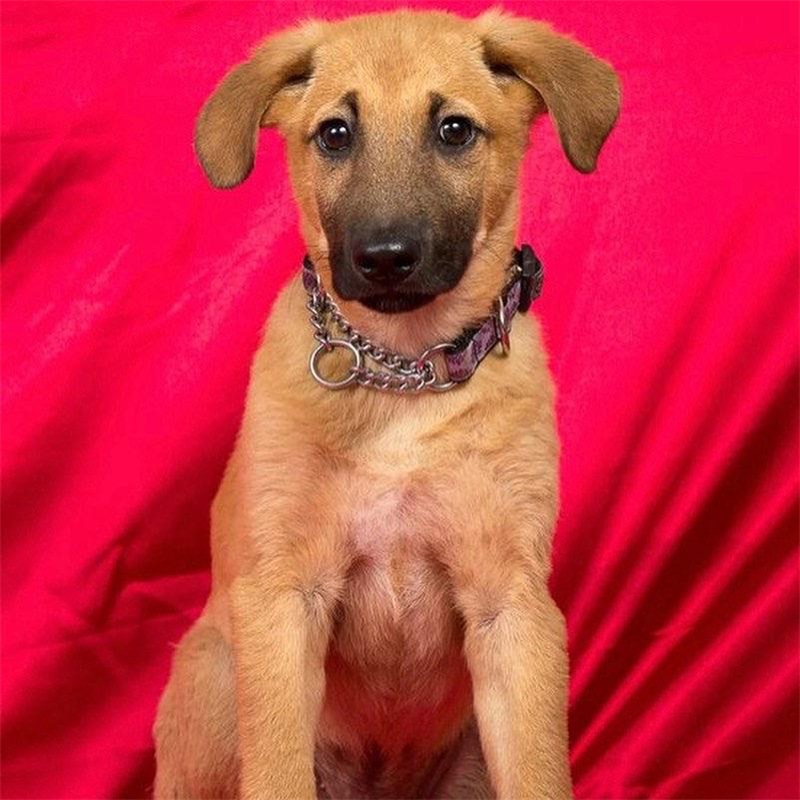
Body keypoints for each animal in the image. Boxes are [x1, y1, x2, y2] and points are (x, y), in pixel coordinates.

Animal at [153, 8, 619, 799]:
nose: (385, 258)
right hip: (214, 675)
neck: (405, 374)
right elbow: (276, 771)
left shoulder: (513, 610)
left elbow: (538, 772)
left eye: (455, 130)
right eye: (335, 133)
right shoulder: (283, 600)